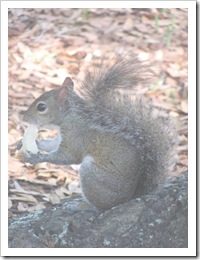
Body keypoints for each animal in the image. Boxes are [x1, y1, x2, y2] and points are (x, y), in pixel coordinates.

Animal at [21, 51, 177, 210]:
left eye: (41, 107)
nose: (24, 117)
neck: (69, 118)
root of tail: (129, 198)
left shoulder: (76, 137)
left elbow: (66, 157)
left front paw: (36, 158)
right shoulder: (62, 137)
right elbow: (51, 144)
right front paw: (31, 143)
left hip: (92, 175)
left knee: (101, 206)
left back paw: (83, 205)